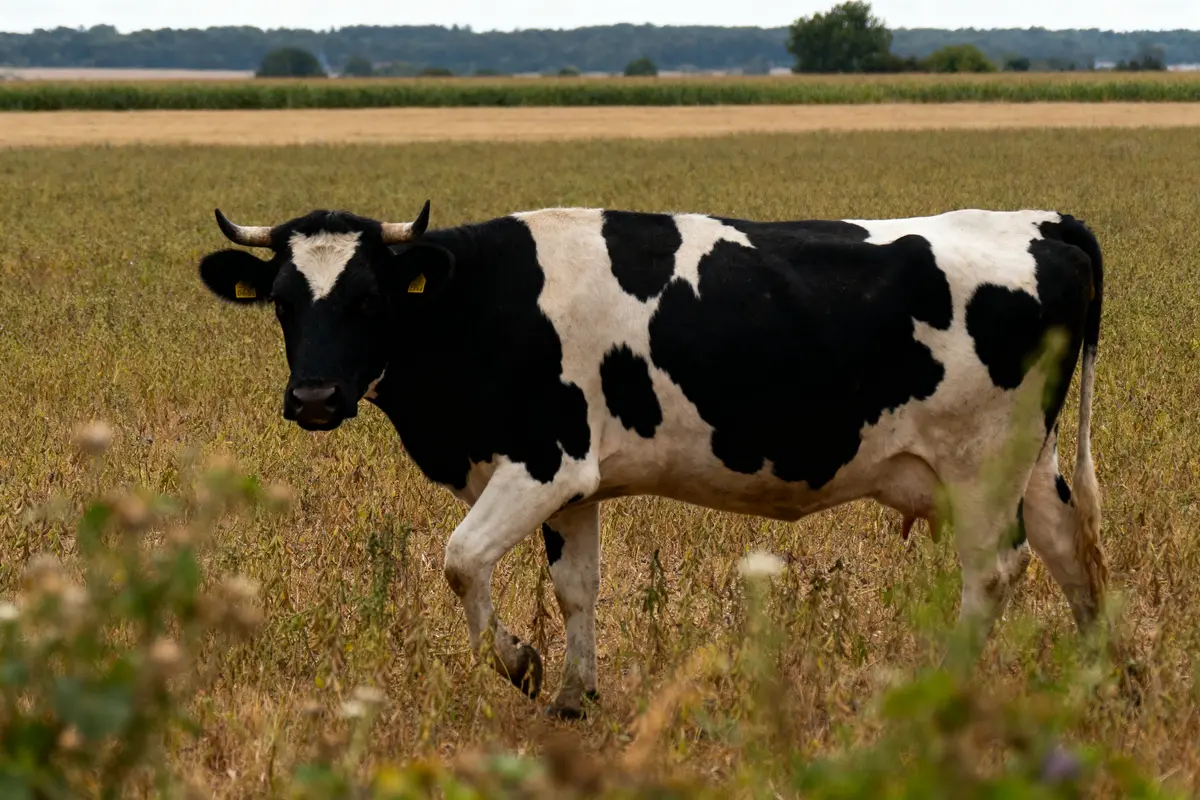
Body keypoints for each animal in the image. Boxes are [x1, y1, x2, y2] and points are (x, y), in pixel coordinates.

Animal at [197, 201, 1107, 719]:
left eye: (369, 299)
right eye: (282, 302)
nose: (314, 397)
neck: (484, 302)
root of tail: (1044, 221)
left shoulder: (544, 462)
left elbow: (461, 560)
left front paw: (521, 666)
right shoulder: (574, 488)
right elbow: (576, 587)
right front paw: (574, 699)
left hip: (980, 464)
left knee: (994, 571)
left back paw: (947, 690)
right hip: (1033, 464)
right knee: (1073, 555)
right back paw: (1104, 680)